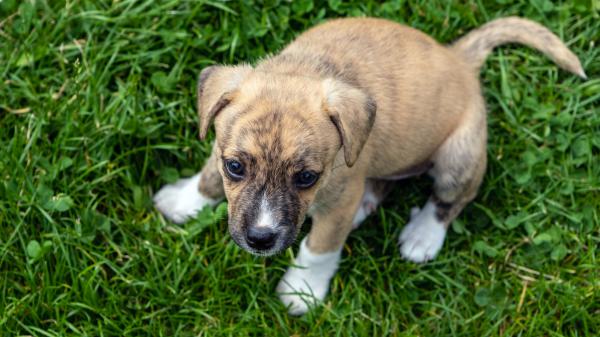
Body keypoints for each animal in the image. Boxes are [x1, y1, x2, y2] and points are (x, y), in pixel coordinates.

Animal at [152, 17, 584, 314]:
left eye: (306, 177)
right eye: (236, 167)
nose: (261, 239)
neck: (307, 68)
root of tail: (459, 58)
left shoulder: (337, 200)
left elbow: (319, 248)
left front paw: (301, 291)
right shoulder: (221, 148)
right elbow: (208, 177)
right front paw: (183, 201)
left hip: (458, 157)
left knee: (450, 200)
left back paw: (423, 235)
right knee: (383, 183)